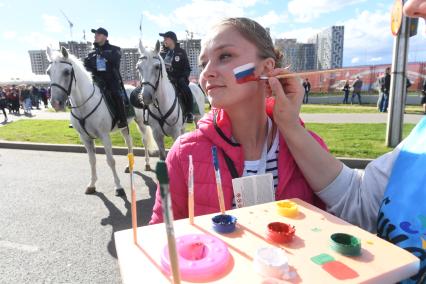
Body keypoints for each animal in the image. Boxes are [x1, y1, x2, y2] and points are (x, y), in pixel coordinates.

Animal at [46, 46, 156, 196]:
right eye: (48, 72)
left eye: (66, 72)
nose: (56, 103)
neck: (84, 104)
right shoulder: (85, 138)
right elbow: (92, 161)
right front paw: (92, 184)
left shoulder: (104, 136)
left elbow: (110, 161)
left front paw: (118, 187)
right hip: (124, 126)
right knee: (129, 141)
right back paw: (129, 165)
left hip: (140, 123)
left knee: (144, 140)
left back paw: (147, 163)